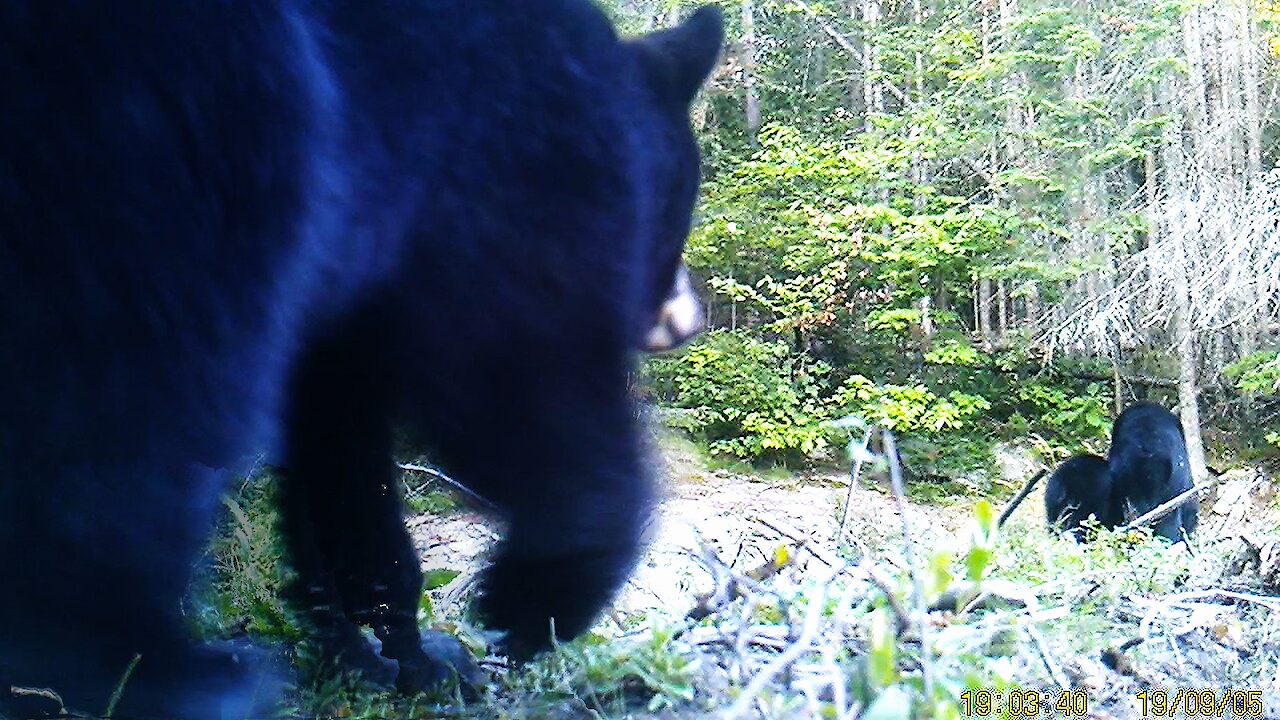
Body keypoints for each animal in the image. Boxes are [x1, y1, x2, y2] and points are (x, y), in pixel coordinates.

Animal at [0, 2, 721, 712]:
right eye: (681, 205)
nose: (688, 320)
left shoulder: (340, 323)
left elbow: (342, 462)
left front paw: (389, 656)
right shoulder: (508, 171)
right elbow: (519, 378)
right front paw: (525, 610)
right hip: (194, 127)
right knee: (141, 389)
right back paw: (159, 674)